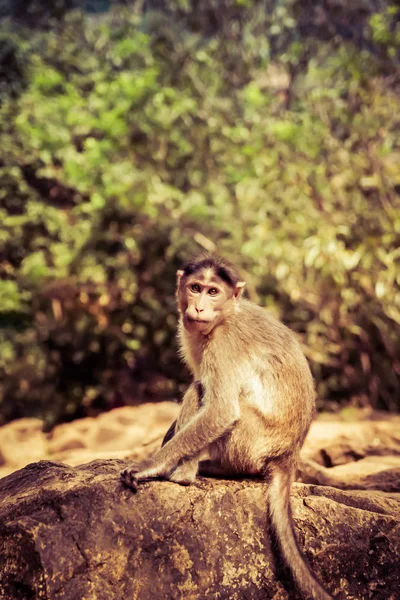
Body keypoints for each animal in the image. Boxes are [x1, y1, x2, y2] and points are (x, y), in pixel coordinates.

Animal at [120, 254, 332, 600]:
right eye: (195, 288)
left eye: (213, 292)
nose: (199, 307)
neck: (224, 317)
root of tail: (289, 455)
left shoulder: (224, 345)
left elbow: (220, 410)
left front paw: (151, 464)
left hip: (252, 441)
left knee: (205, 392)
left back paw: (190, 472)